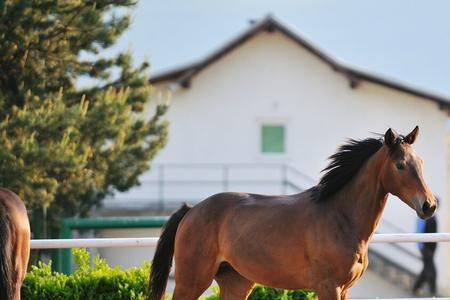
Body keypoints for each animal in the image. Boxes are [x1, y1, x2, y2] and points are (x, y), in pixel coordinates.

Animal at [149, 125, 436, 298]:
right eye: (400, 165)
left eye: (421, 162)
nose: (429, 205)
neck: (340, 218)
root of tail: (191, 210)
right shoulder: (328, 287)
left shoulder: (344, 289)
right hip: (191, 281)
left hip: (236, 283)